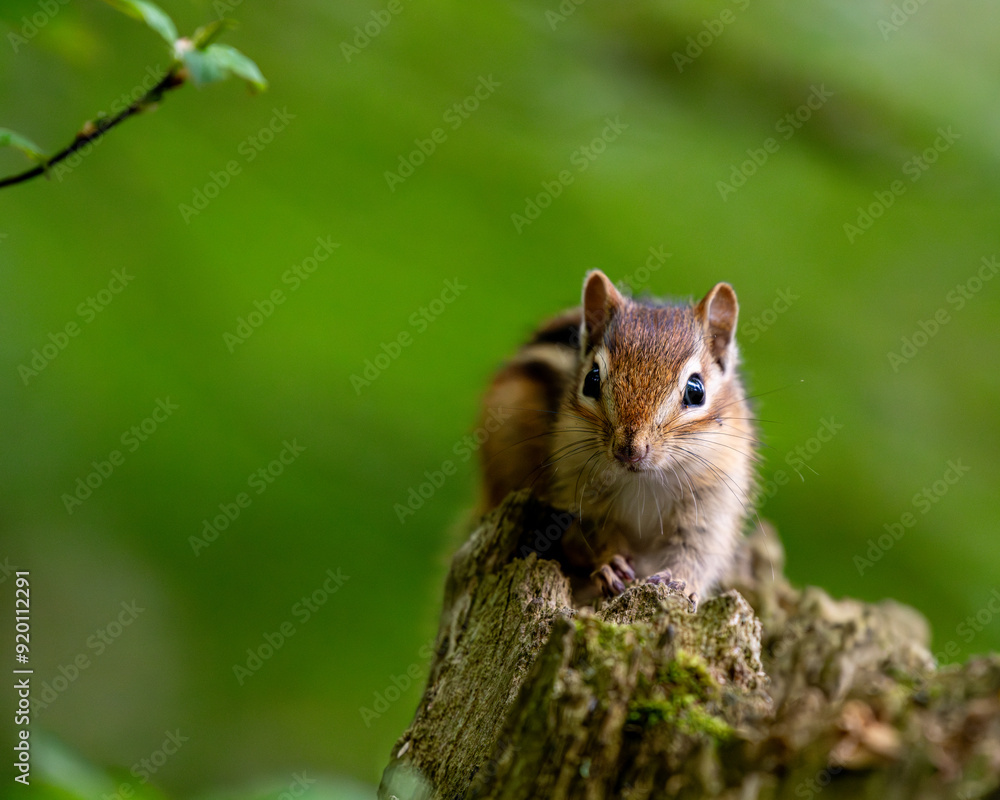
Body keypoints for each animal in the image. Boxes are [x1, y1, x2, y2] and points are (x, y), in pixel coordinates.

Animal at [476, 269, 758, 609]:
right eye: (591, 380)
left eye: (696, 391)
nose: (630, 450)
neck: (644, 481)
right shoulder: (575, 494)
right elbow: (591, 535)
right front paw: (610, 563)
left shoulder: (711, 504)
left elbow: (698, 552)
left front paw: (680, 581)